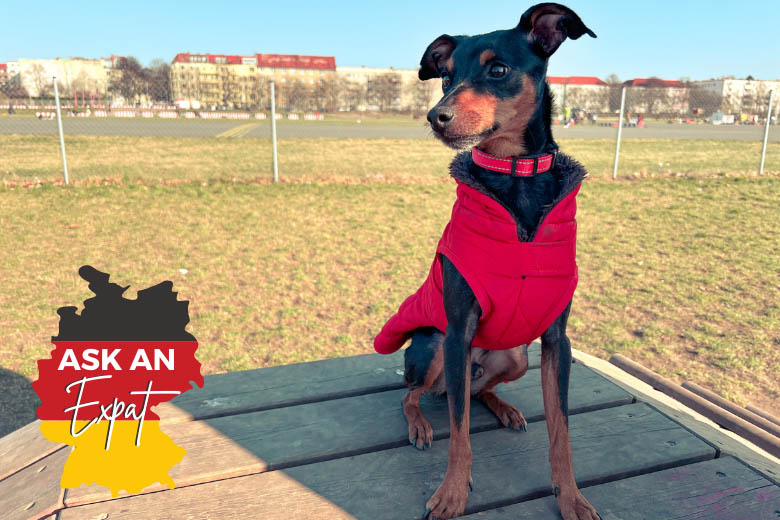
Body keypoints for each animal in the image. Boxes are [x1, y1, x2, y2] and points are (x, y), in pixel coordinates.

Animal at [374, 4, 600, 520]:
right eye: (445, 77)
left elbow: (562, 431)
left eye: (498, 70)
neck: (515, 178)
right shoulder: (458, 331)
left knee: (475, 392)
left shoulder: (556, 341)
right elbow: (460, 435)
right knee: (416, 395)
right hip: (436, 348)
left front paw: (572, 497)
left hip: (515, 355)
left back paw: (504, 407)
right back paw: (420, 423)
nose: (436, 116)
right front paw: (452, 494)